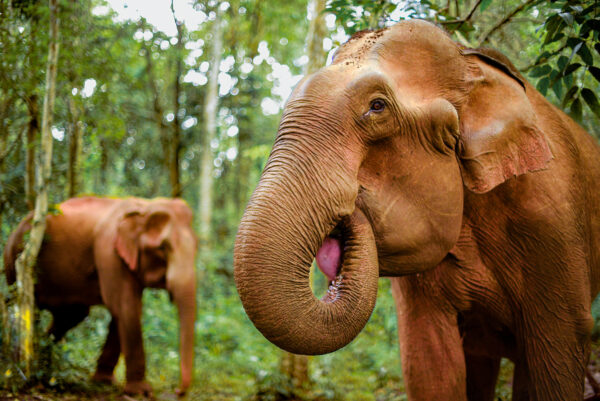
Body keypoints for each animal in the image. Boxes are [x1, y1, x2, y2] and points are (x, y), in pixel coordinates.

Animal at [4, 195, 197, 396]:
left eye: (197, 246)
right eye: (163, 248)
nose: (177, 391)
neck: (145, 206)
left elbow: (125, 310)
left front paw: (104, 382)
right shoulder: (108, 252)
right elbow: (126, 307)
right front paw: (140, 392)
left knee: (72, 315)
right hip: (16, 258)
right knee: (24, 308)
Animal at [233, 19, 600, 400]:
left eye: (377, 106)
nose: (352, 207)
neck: (468, 61)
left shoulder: (553, 221)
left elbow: (556, 351)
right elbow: (430, 362)